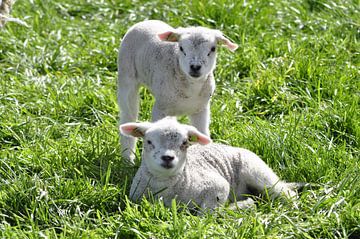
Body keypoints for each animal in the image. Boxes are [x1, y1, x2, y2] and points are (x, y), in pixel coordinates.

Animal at [116, 20, 238, 162]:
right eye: (181, 48)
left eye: (213, 49)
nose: (195, 67)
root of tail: (146, 21)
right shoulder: (160, 108)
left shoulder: (201, 109)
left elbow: (202, 133)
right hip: (126, 74)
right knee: (128, 113)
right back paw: (128, 158)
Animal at [121, 117, 300, 211]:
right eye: (149, 142)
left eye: (184, 143)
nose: (167, 158)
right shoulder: (135, 199)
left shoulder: (217, 186)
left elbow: (208, 215)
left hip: (257, 171)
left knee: (285, 192)